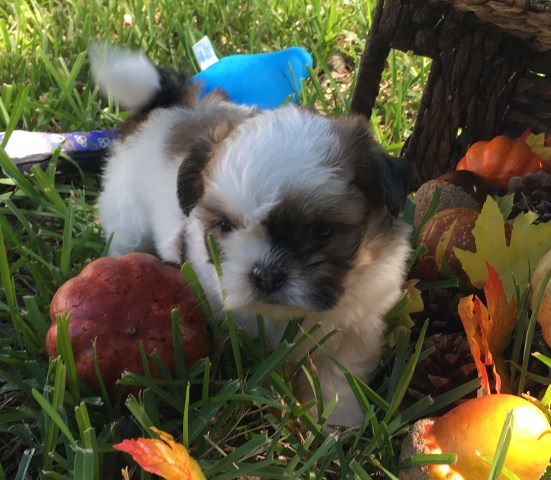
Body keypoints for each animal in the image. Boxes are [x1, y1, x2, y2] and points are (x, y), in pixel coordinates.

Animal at [90, 46, 412, 428]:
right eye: (226, 226)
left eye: (321, 231)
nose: (266, 276)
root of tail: (172, 102)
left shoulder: (355, 326)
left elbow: (338, 374)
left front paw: (336, 421)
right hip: (127, 216)